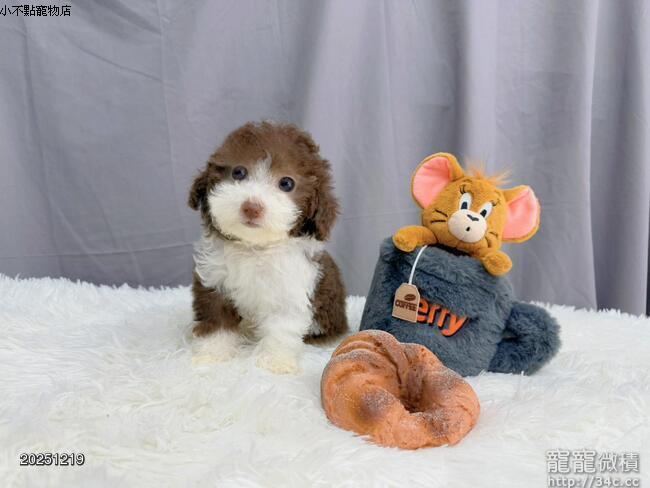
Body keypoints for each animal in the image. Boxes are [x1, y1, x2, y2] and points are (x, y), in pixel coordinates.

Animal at [187, 122, 348, 373]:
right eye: (239, 172)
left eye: (286, 183)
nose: (252, 207)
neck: (254, 247)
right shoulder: (214, 282)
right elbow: (217, 319)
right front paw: (212, 354)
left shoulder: (290, 291)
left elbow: (282, 327)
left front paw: (274, 361)